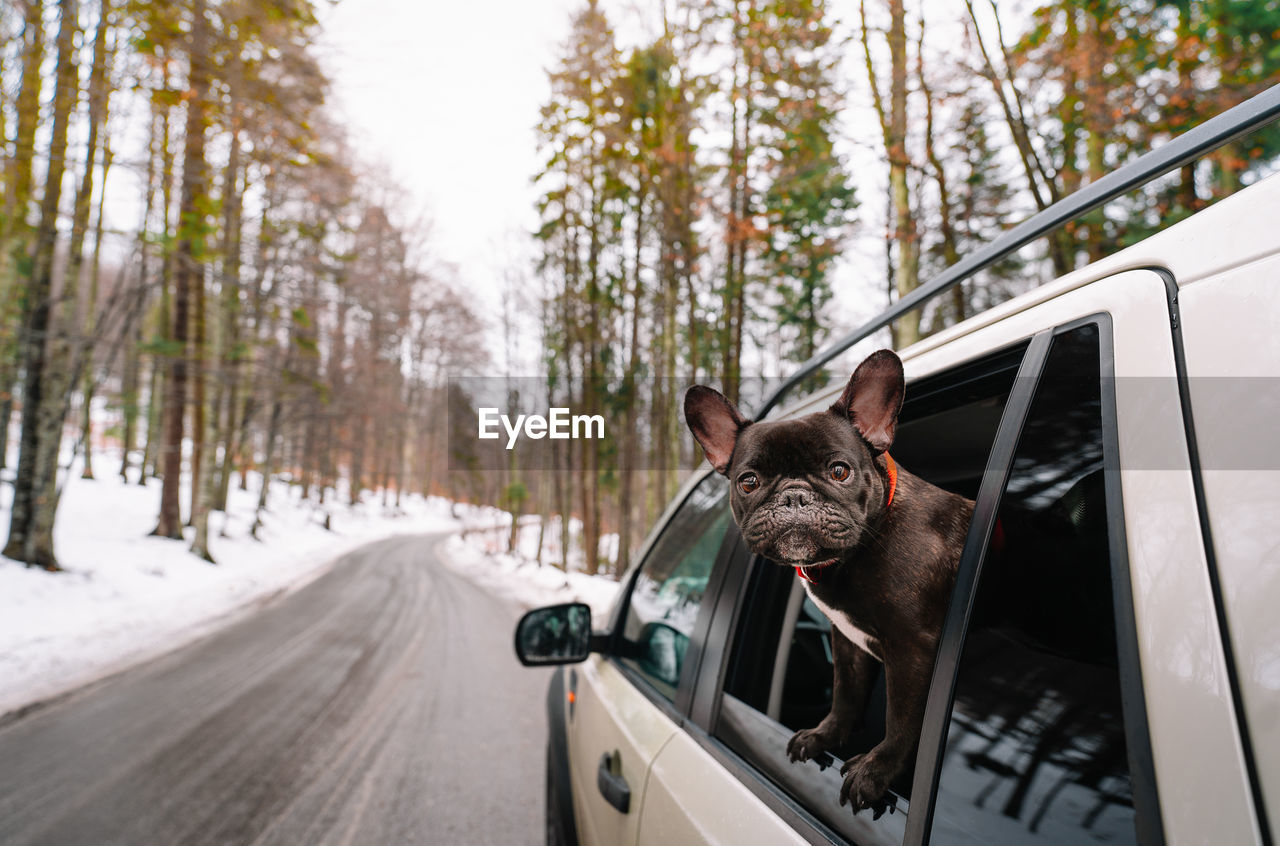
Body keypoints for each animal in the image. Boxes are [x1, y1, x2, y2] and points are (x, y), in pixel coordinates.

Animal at [691, 348, 967, 814]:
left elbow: (902, 720)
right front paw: (823, 736)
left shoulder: (914, 649)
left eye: (839, 472)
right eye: (748, 482)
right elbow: (844, 694)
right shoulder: (846, 640)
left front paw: (874, 771)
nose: (795, 495)